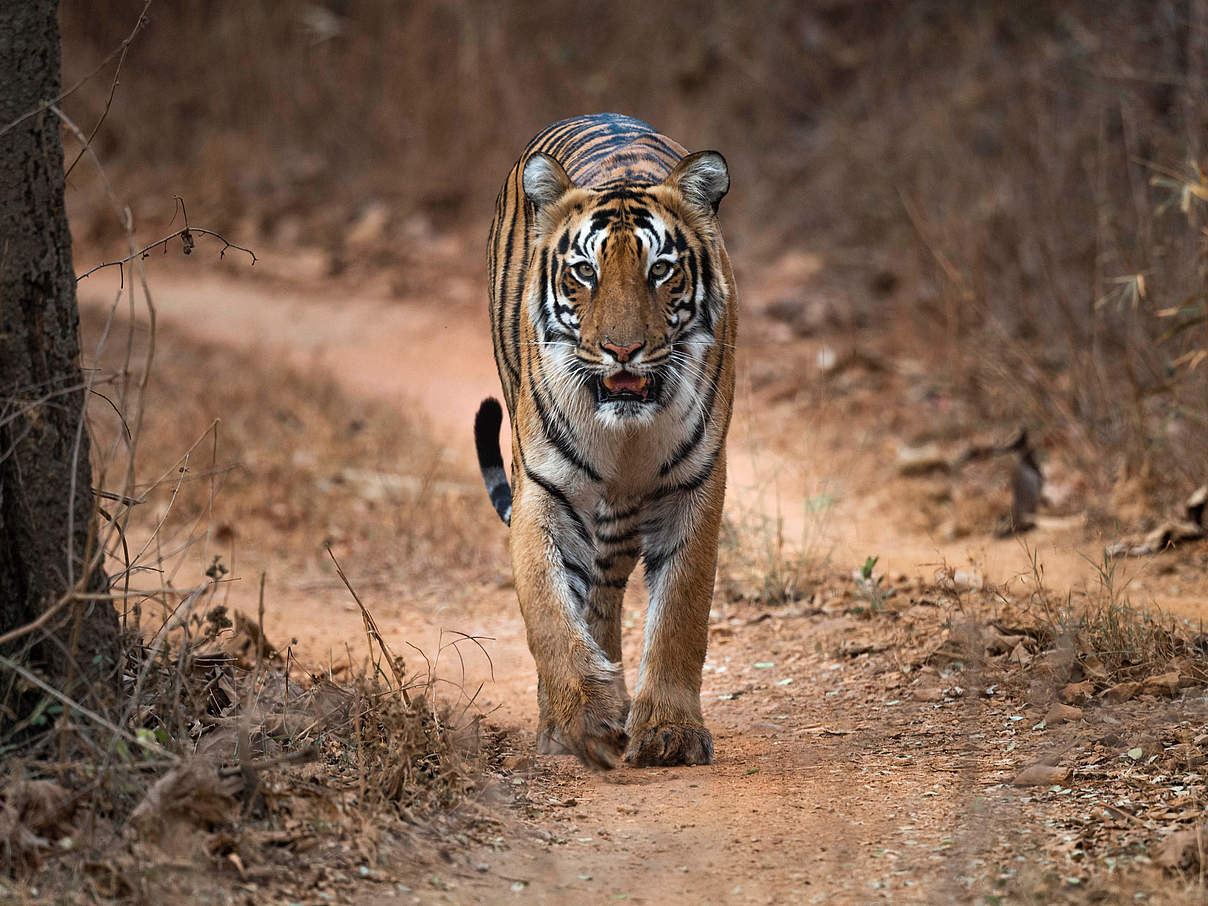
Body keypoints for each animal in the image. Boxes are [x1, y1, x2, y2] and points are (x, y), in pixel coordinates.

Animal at [473, 109, 734, 768]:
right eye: (585, 272)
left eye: (660, 269)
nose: (622, 350)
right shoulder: (542, 488)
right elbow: (548, 612)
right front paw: (584, 717)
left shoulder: (695, 484)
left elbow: (681, 613)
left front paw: (668, 732)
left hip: (619, 521)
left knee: (605, 594)